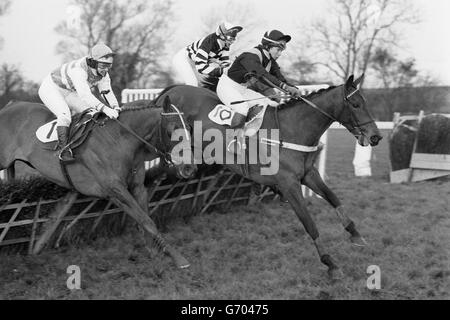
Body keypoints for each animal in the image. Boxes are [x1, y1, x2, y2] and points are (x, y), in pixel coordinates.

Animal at [0, 96, 197, 268]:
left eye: (189, 128)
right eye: (172, 129)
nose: (189, 168)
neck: (120, 139)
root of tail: (9, 105)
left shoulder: (135, 187)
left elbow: (146, 219)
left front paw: (153, 253)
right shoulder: (115, 190)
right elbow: (146, 220)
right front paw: (178, 258)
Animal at [156, 74, 384, 278]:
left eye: (364, 102)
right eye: (355, 104)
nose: (376, 136)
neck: (292, 130)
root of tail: (173, 89)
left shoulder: (308, 174)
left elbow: (333, 198)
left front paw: (355, 234)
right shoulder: (289, 185)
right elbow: (309, 223)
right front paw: (330, 263)